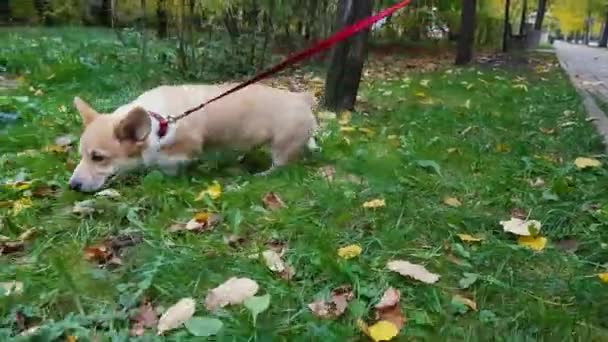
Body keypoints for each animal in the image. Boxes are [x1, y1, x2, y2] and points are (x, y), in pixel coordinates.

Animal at [69, 84, 318, 192]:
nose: (72, 186)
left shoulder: (181, 150)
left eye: (98, 157)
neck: (158, 123)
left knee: (281, 165)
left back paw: (261, 175)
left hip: (282, 146)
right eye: (82, 155)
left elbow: (165, 163)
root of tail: (303, 98)